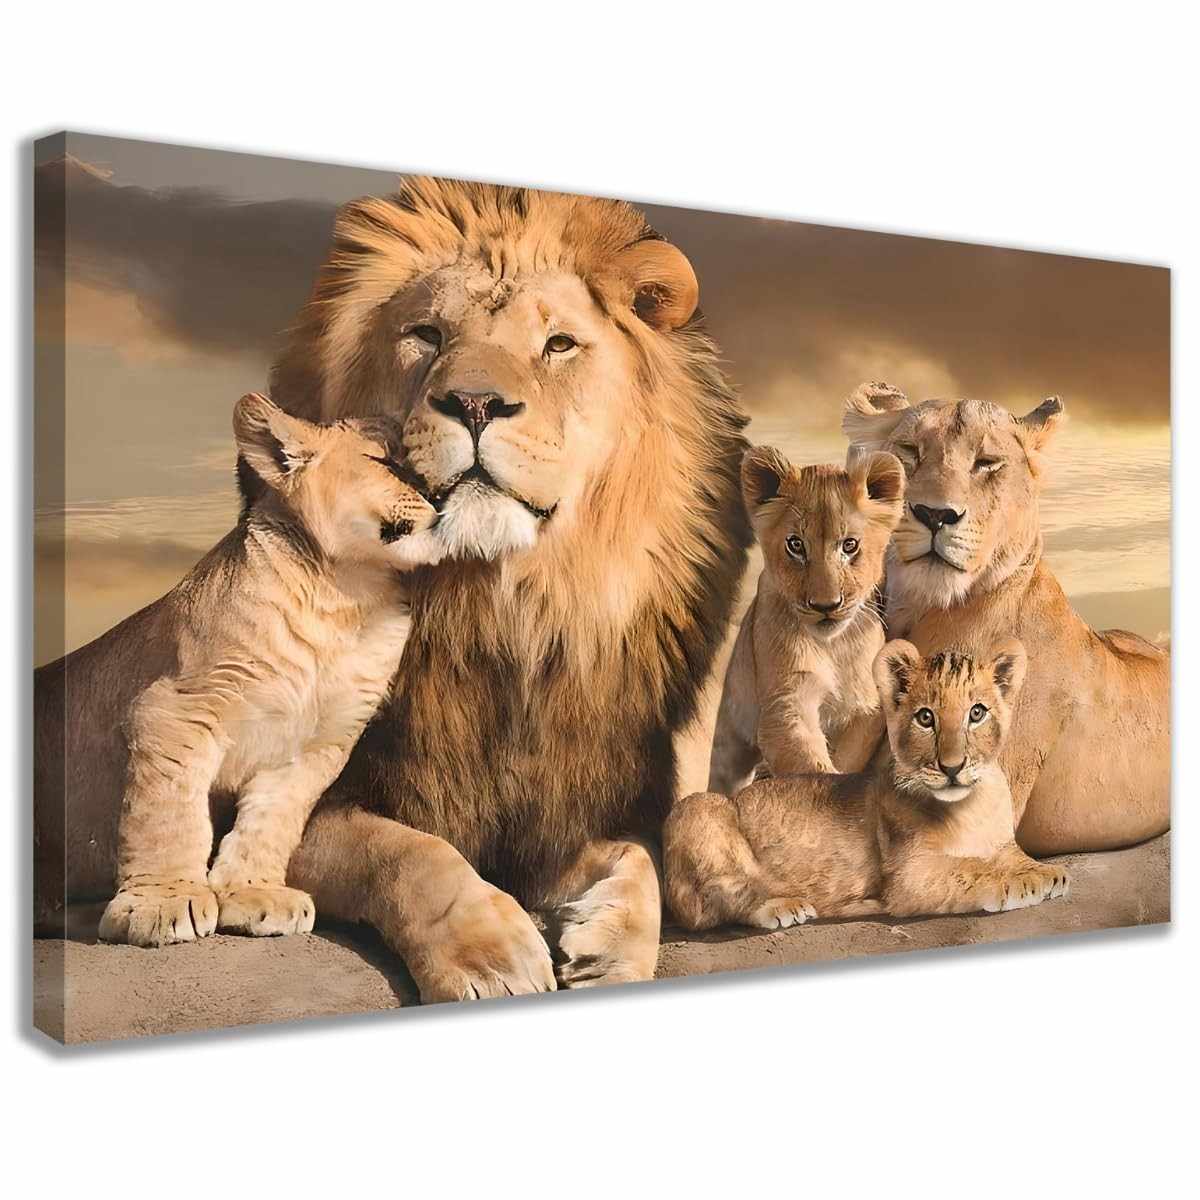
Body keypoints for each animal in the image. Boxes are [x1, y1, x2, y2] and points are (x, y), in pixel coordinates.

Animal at [34, 394, 444, 944]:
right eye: (384, 461)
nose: (442, 494)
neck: (346, 597)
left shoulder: (316, 744)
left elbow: (272, 821)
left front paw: (254, 894)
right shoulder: (174, 710)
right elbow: (168, 815)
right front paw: (164, 902)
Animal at [250, 177, 751, 1000]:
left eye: (558, 345)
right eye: (426, 335)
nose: (476, 403)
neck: (504, 612)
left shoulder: (581, 804)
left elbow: (641, 862)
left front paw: (610, 951)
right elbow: (408, 851)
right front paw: (491, 956)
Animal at [664, 637, 1070, 930]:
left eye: (977, 713)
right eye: (926, 718)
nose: (952, 767)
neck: (973, 805)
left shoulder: (1001, 844)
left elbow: (1014, 856)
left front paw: (1047, 873)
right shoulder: (911, 877)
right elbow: (969, 869)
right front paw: (1022, 883)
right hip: (700, 810)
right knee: (719, 902)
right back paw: (787, 906)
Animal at [708, 444, 905, 793]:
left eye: (849, 545)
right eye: (796, 545)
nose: (826, 605)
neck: (832, 647)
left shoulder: (867, 708)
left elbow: (847, 756)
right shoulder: (785, 701)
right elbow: (806, 763)